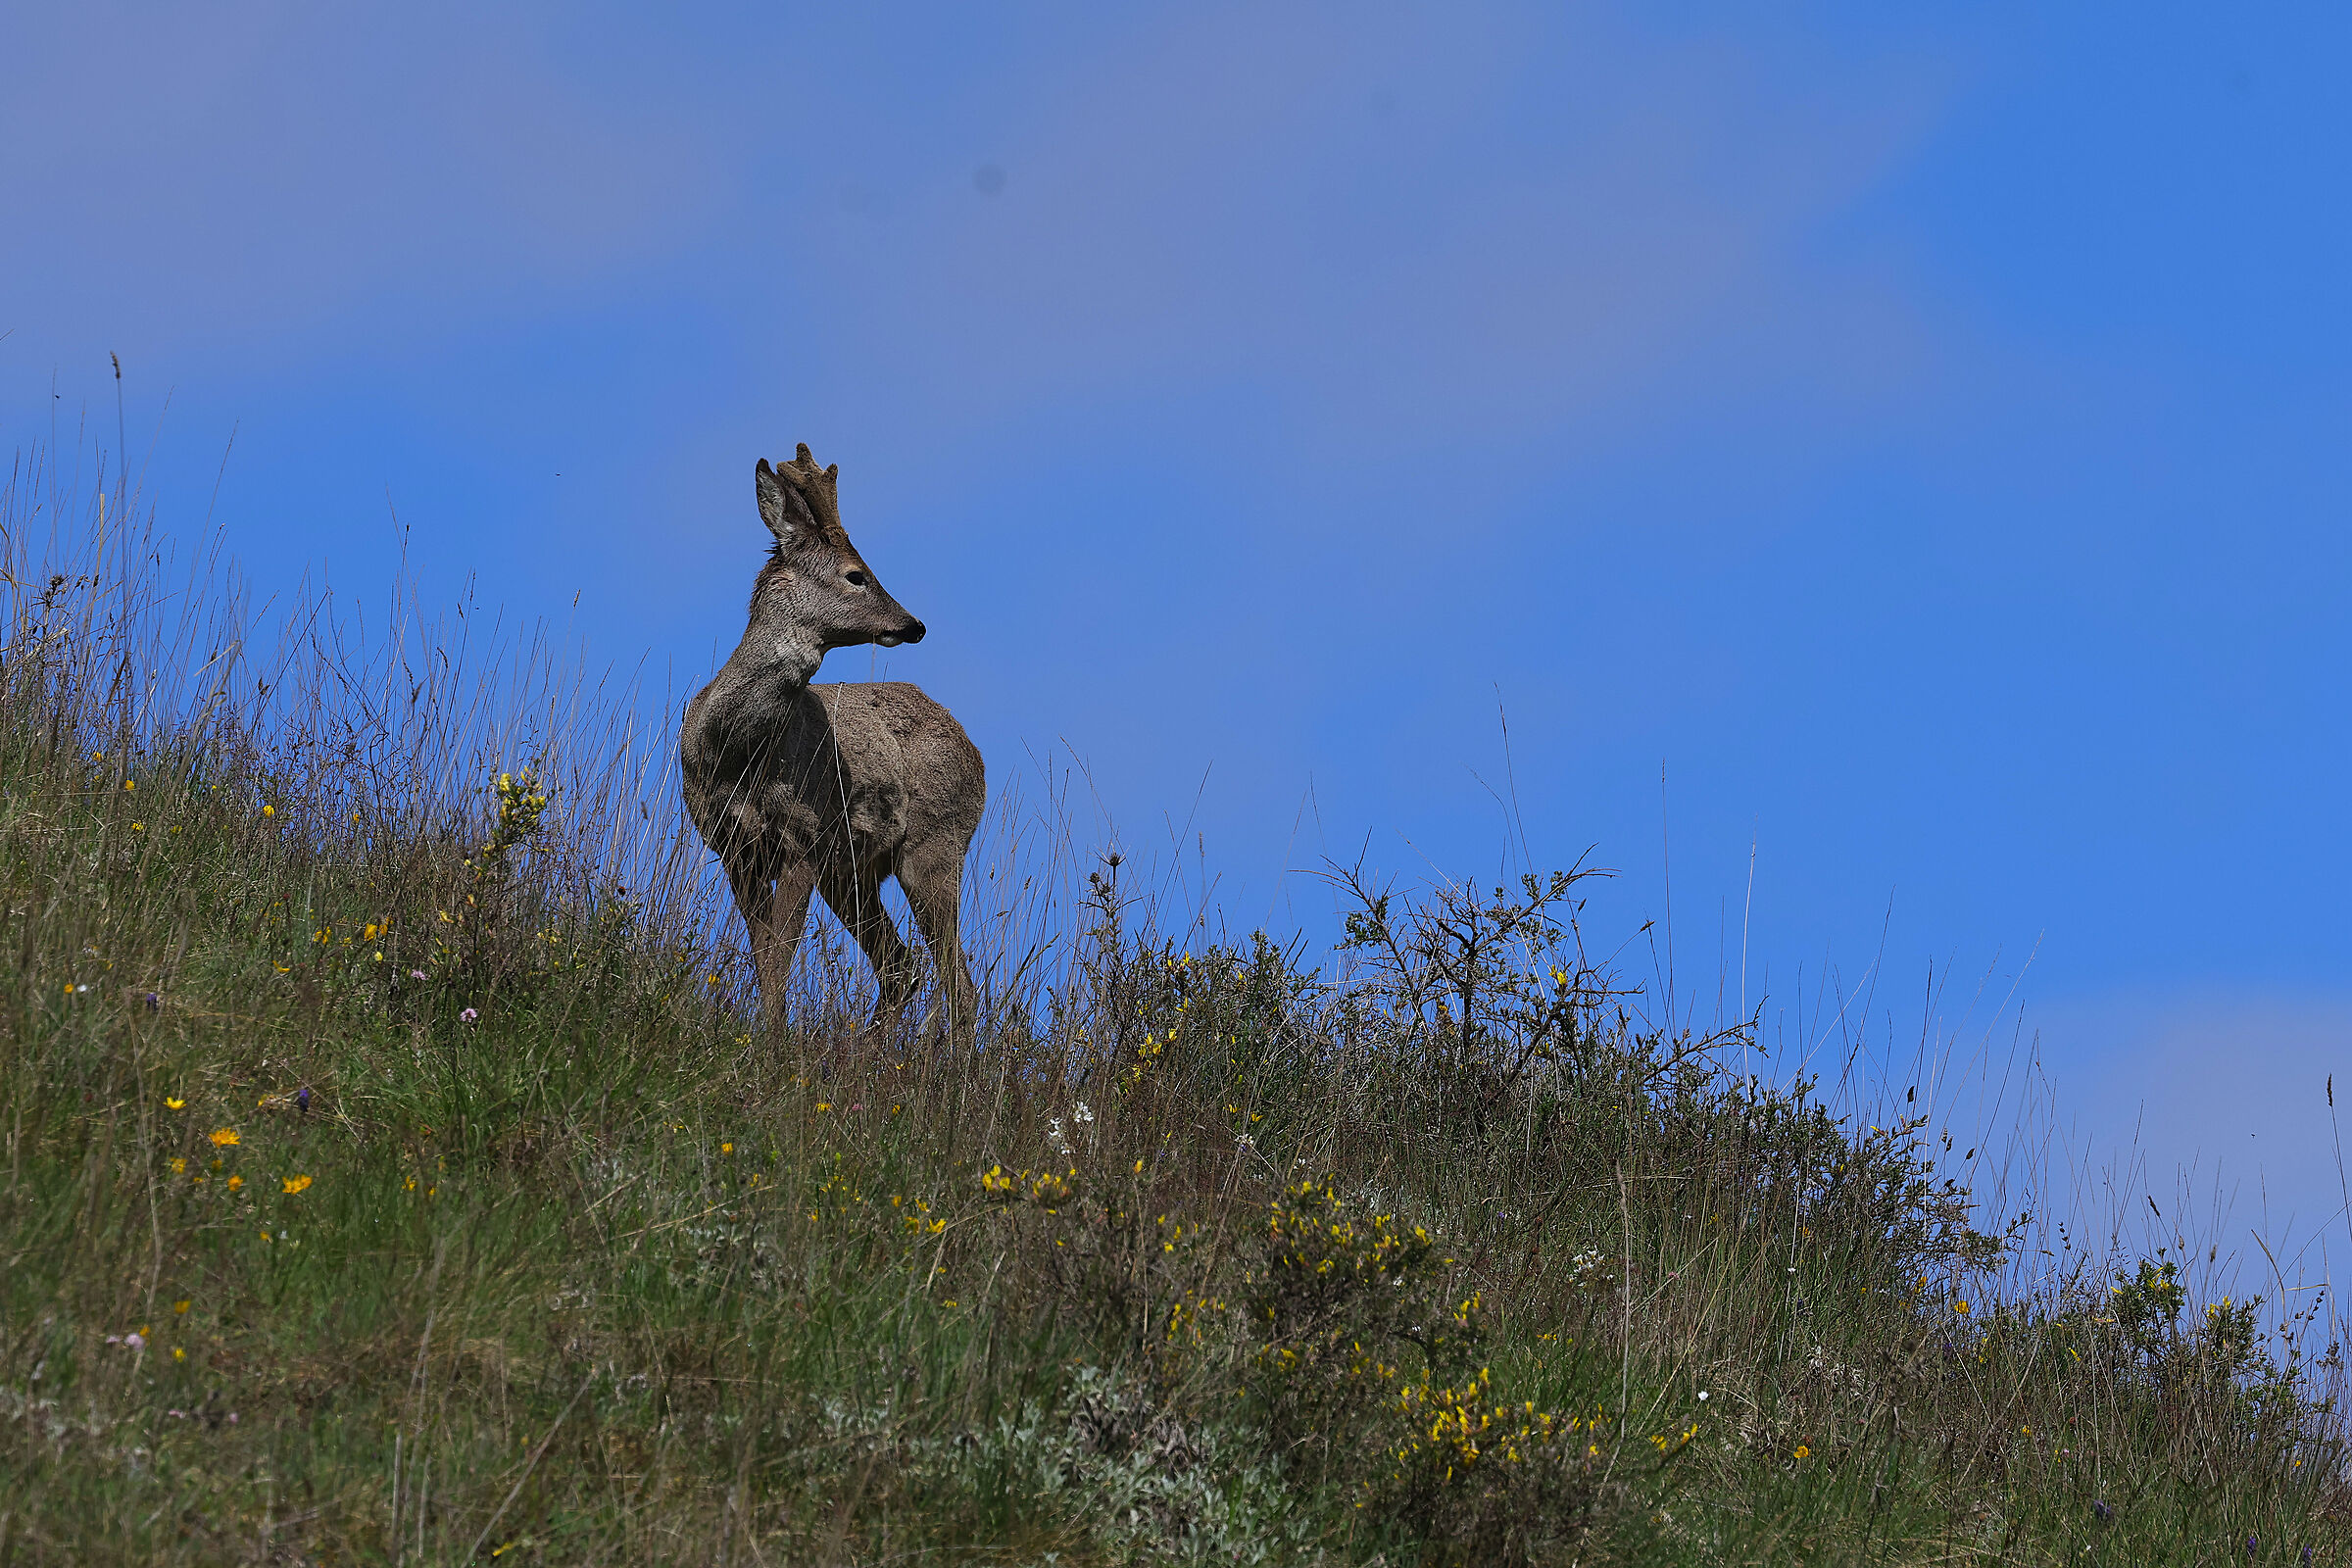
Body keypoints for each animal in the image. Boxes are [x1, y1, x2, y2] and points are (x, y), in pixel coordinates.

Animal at [680, 445, 985, 1042]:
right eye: (855, 574)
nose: (913, 624)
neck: (736, 751)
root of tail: (978, 756)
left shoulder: (803, 837)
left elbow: (779, 957)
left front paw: (769, 1044)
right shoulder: (733, 847)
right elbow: (765, 955)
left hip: (932, 848)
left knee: (956, 979)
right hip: (852, 874)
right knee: (903, 967)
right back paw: (866, 1051)